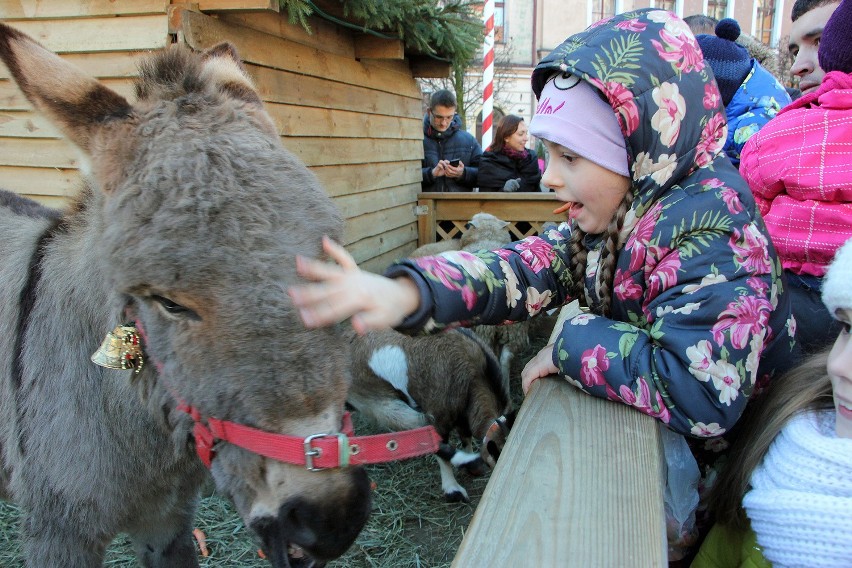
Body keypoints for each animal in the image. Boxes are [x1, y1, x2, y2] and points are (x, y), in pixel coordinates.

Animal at [344, 326, 510, 504]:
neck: (476, 374)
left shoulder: (462, 416)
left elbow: (466, 437)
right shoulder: (437, 418)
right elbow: (439, 447)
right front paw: (453, 489)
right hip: (382, 404)